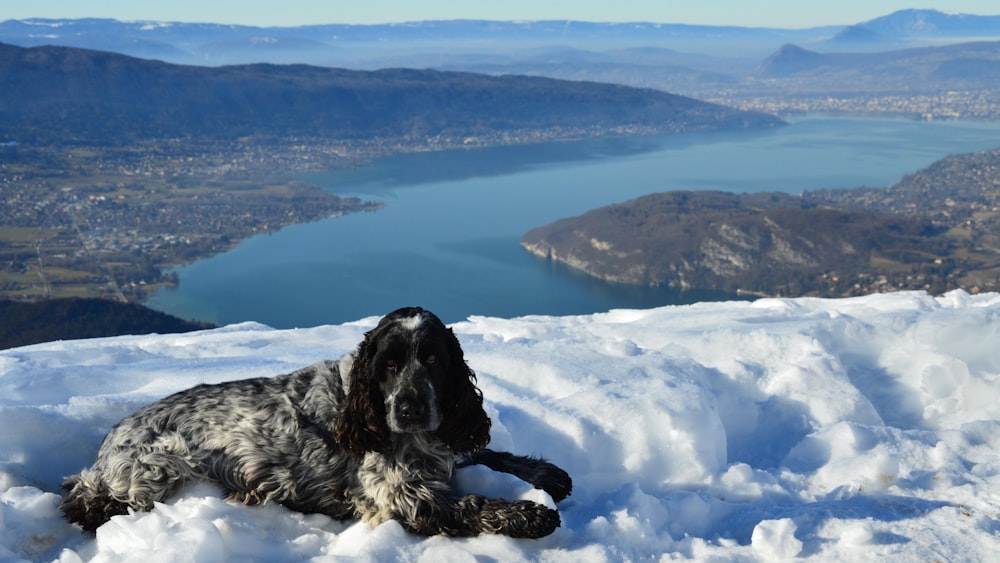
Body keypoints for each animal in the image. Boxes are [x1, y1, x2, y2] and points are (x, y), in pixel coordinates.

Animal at [62, 308, 576, 536]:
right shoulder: (402, 496)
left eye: (433, 359)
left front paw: (549, 473)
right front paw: (532, 514)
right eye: (388, 366)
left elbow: (488, 453)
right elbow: (472, 503)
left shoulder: (444, 442)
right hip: (161, 464)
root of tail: (107, 444)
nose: (409, 410)